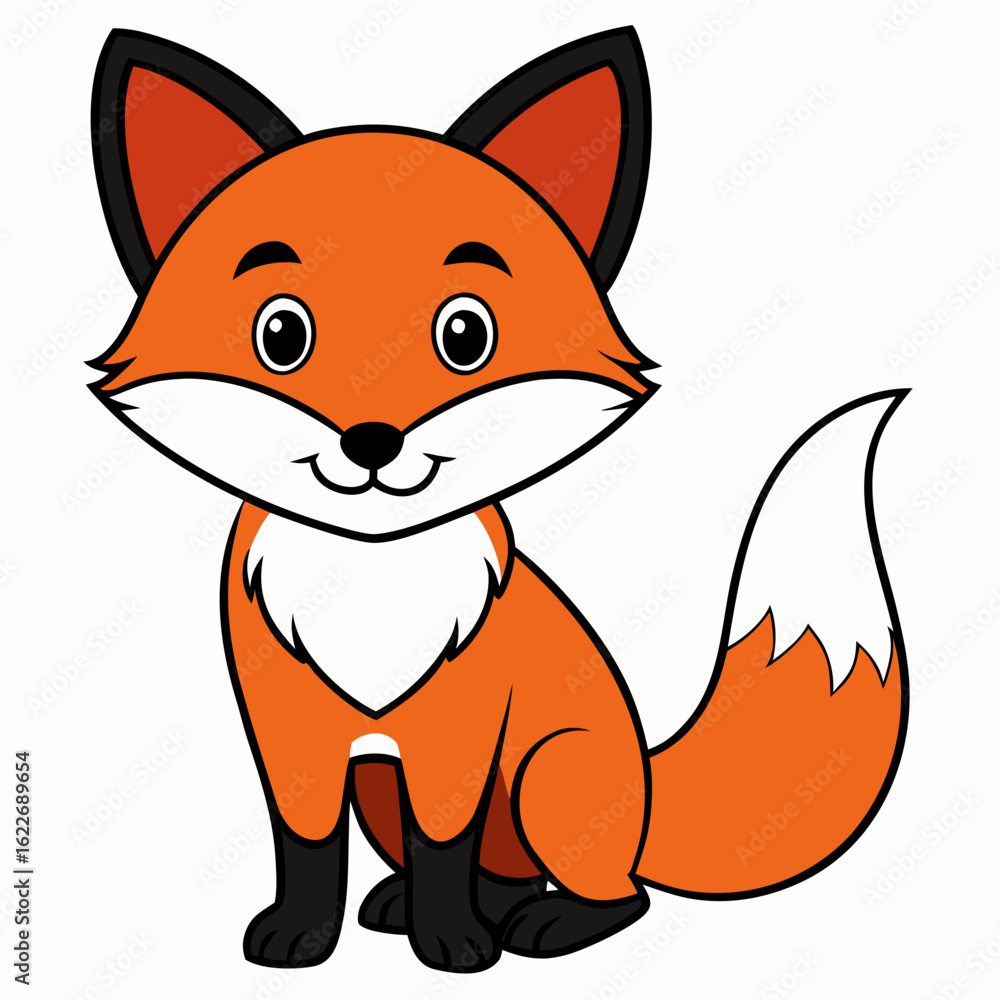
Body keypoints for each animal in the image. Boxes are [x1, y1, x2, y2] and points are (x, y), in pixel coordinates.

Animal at [88, 26, 908, 973]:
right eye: (281, 334)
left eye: (465, 334)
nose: (372, 440)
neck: (370, 579)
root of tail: (647, 784)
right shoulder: (293, 736)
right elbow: (308, 848)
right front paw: (303, 935)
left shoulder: (459, 736)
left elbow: (444, 842)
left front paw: (452, 944)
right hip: (387, 788)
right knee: (491, 871)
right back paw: (415, 905)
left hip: (550, 775)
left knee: (614, 894)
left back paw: (541, 925)